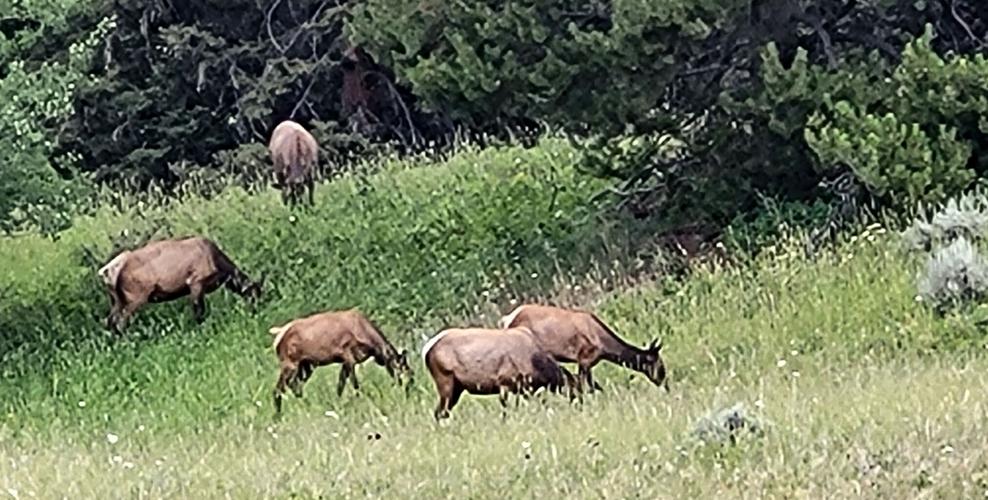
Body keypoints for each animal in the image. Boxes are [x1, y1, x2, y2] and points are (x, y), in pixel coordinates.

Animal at [97, 236, 262, 334]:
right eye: (254, 295)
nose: (256, 311)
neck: (220, 268)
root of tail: (107, 272)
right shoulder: (196, 281)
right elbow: (199, 310)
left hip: (117, 300)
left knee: (110, 321)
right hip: (135, 296)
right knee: (120, 322)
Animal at [269, 308, 411, 415]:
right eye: (402, 372)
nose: (408, 391)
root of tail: (277, 338)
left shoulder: (345, 362)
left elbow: (340, 386)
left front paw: (338, 404)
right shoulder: (348, 357)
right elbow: (355, 385)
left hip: (306, 365)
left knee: (294, 385)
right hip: (291, 363)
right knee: (279, 389)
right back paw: (280, 415)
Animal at [421, 326, 581, 421]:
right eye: (576, 388)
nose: (581, 405)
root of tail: (426, 350)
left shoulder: (523, 388)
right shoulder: (505, 383)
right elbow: (505, 409)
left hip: (457, 388)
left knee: (442, 412)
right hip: (445, 381)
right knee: (439, 412)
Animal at [498, 304, 667, 394]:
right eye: (659, 365)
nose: (665, 384)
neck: (604, 347)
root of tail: (507, 319)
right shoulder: (584, 359)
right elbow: (589, 386)